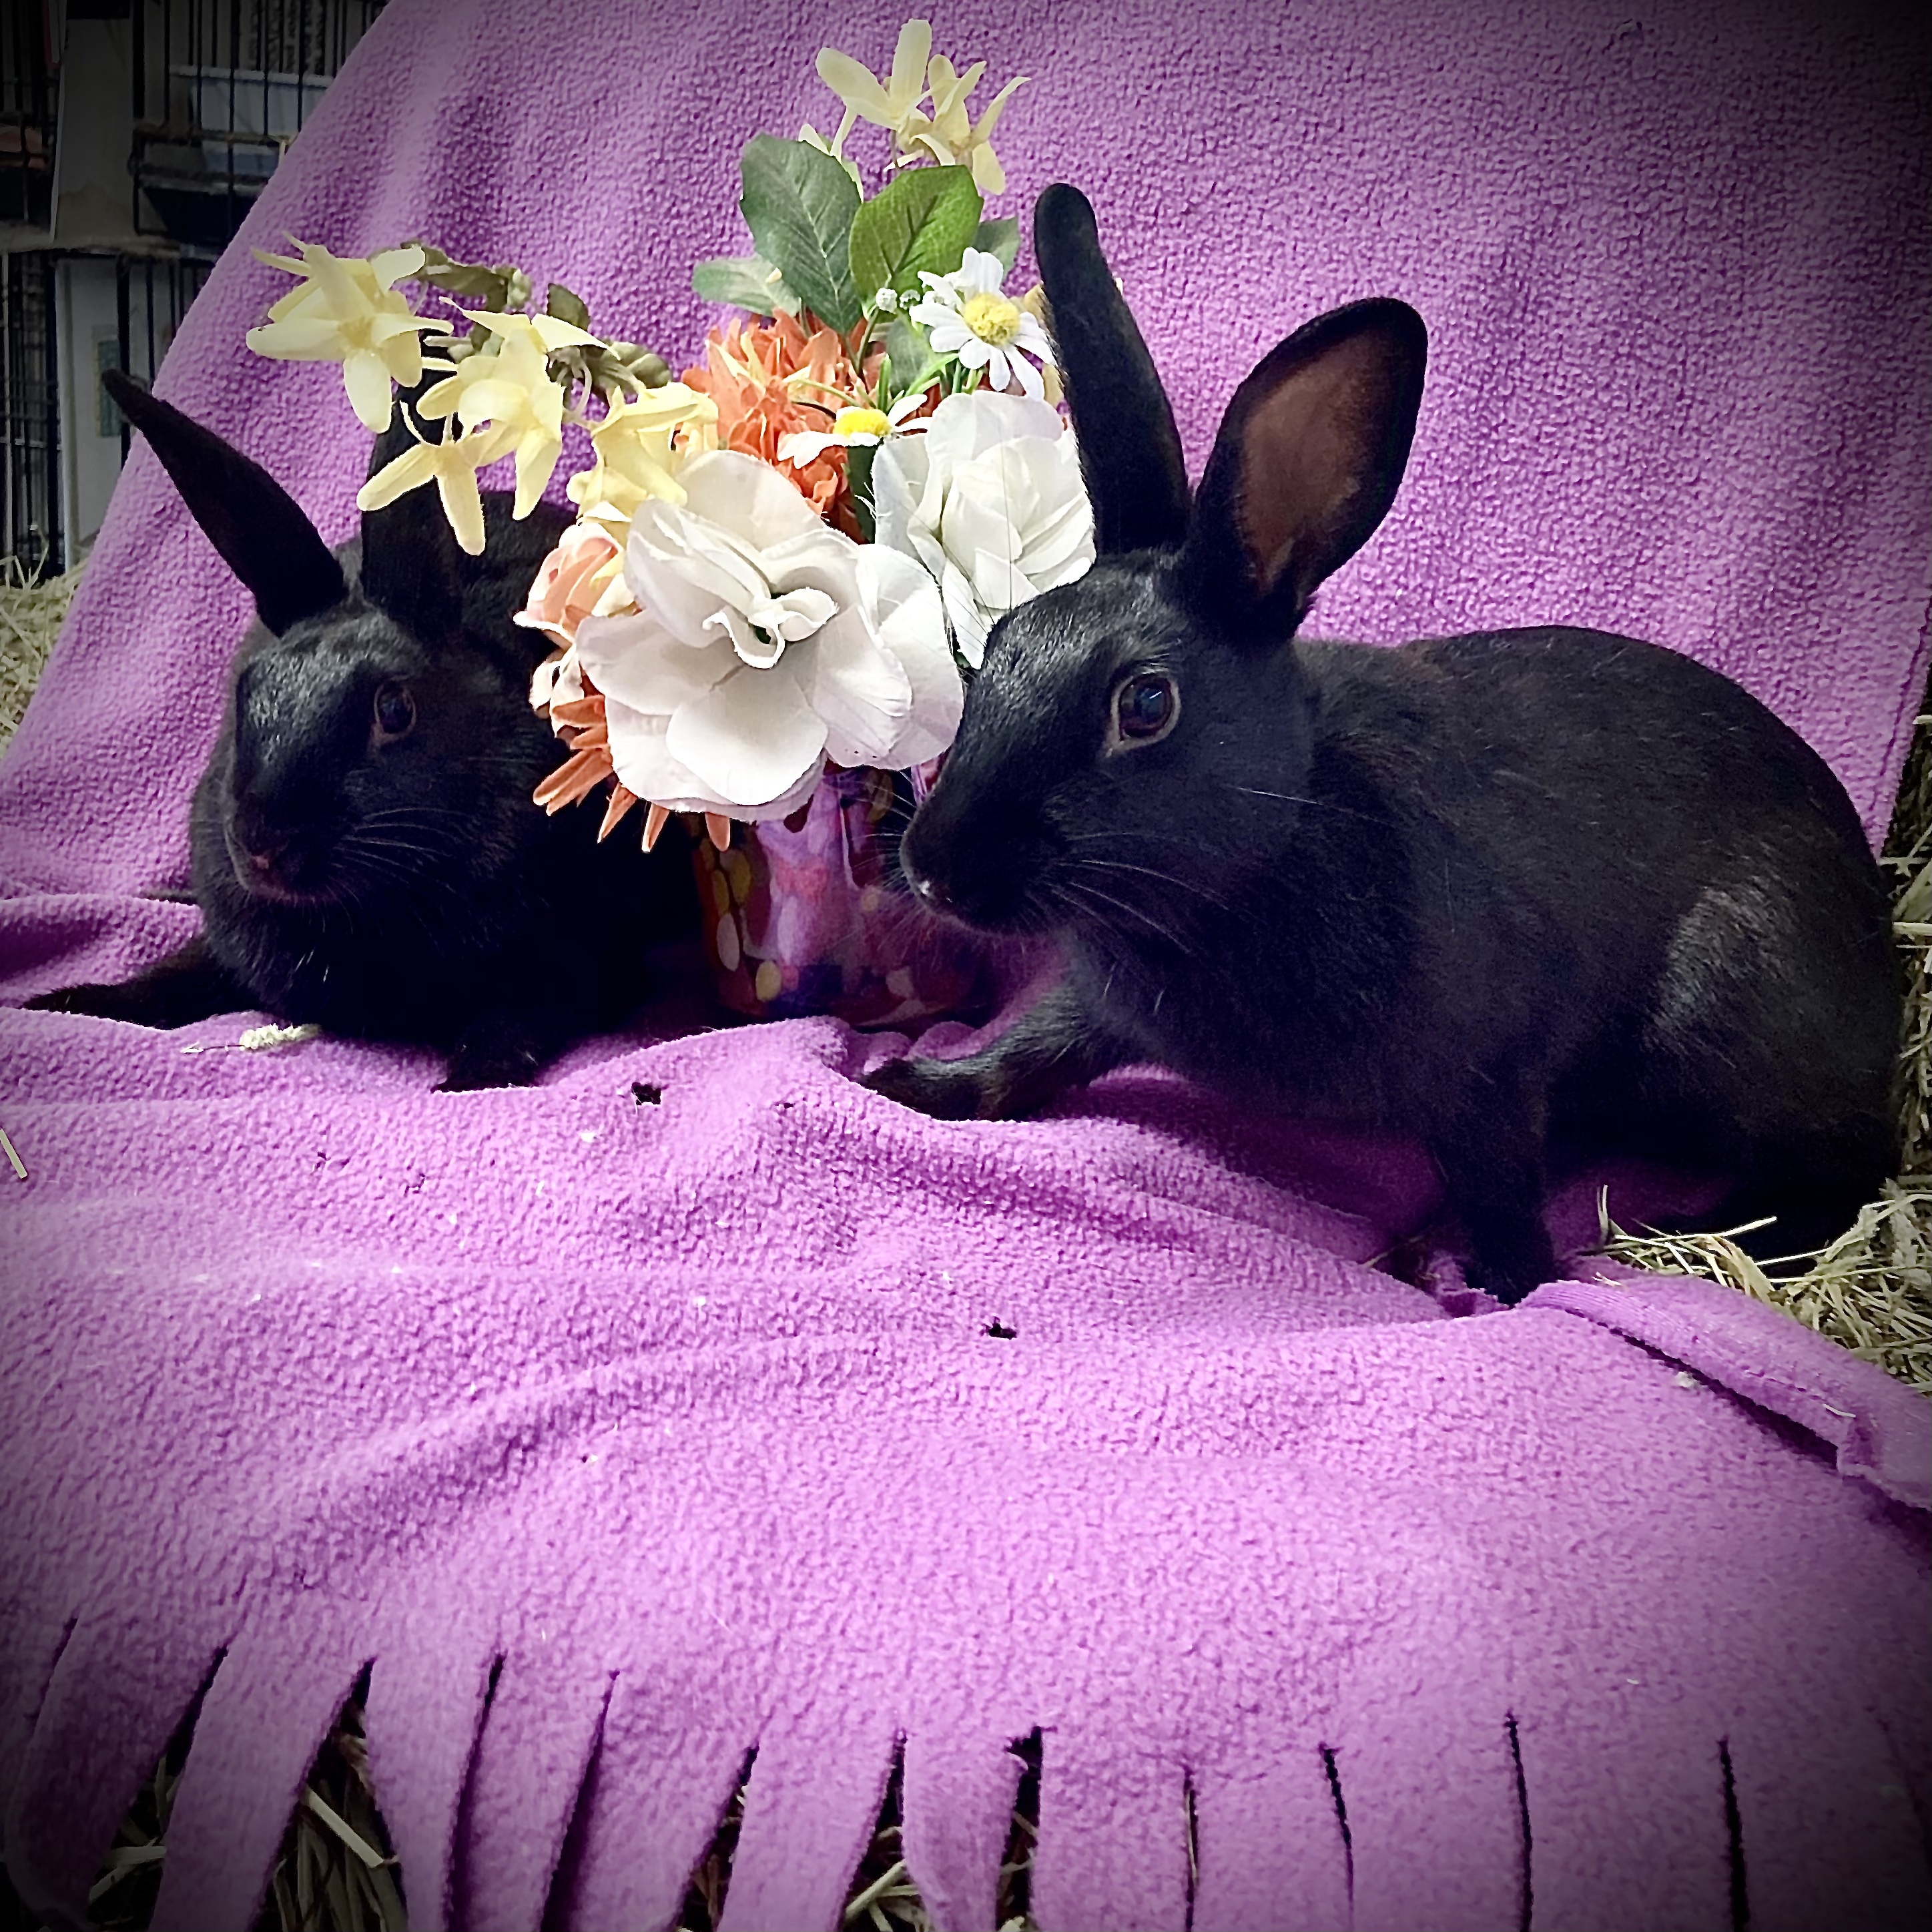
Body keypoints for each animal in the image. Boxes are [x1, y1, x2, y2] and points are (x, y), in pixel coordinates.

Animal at [26, 371, 697, 1089]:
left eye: (394, 710)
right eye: (244, 693)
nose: (263, 846)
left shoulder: (564, 963)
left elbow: (517, 1022)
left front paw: (465, 1078)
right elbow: (173, 974)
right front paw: (64, 1003)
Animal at [863, 183, 1900, 1305]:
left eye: (1143, 704)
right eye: (1000, 640)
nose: (935, 869)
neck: (1263, 856)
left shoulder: (1487, 1079)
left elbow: (1499, 1192)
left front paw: (1492, 1279)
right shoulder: (1092, 1006)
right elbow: (1034, 1049)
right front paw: (912, 1082)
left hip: (1726, 1011)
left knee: (1844, 1169)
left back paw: (1690, 1238)